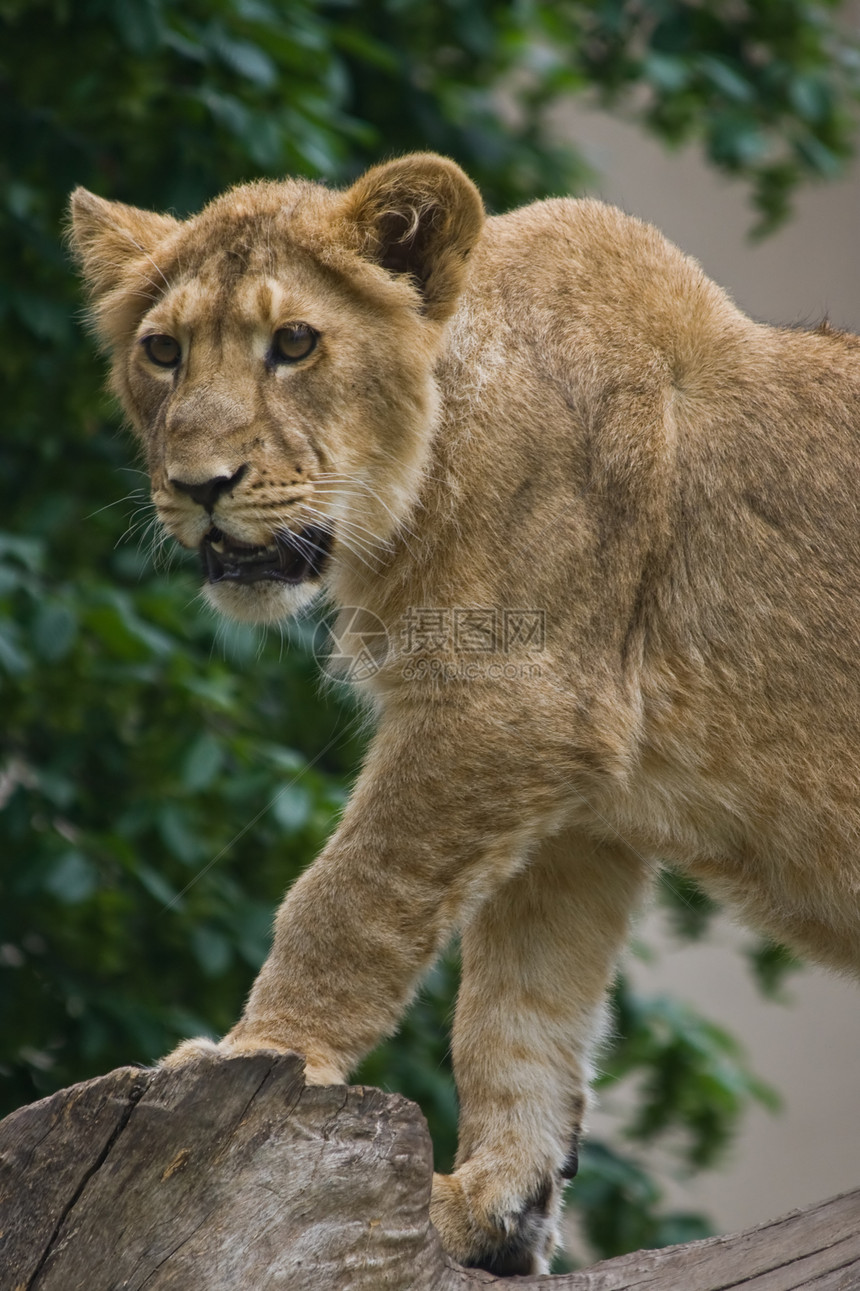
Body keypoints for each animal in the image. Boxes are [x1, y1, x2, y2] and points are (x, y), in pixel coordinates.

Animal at [68, 156, 857, 1275]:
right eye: (163, 351)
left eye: (295, 342)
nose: (199, 486)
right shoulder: (577, 800)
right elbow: (520, 1009)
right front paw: (493, 1205)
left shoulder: (508, 704)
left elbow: (345, 901)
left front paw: (265, 1051)